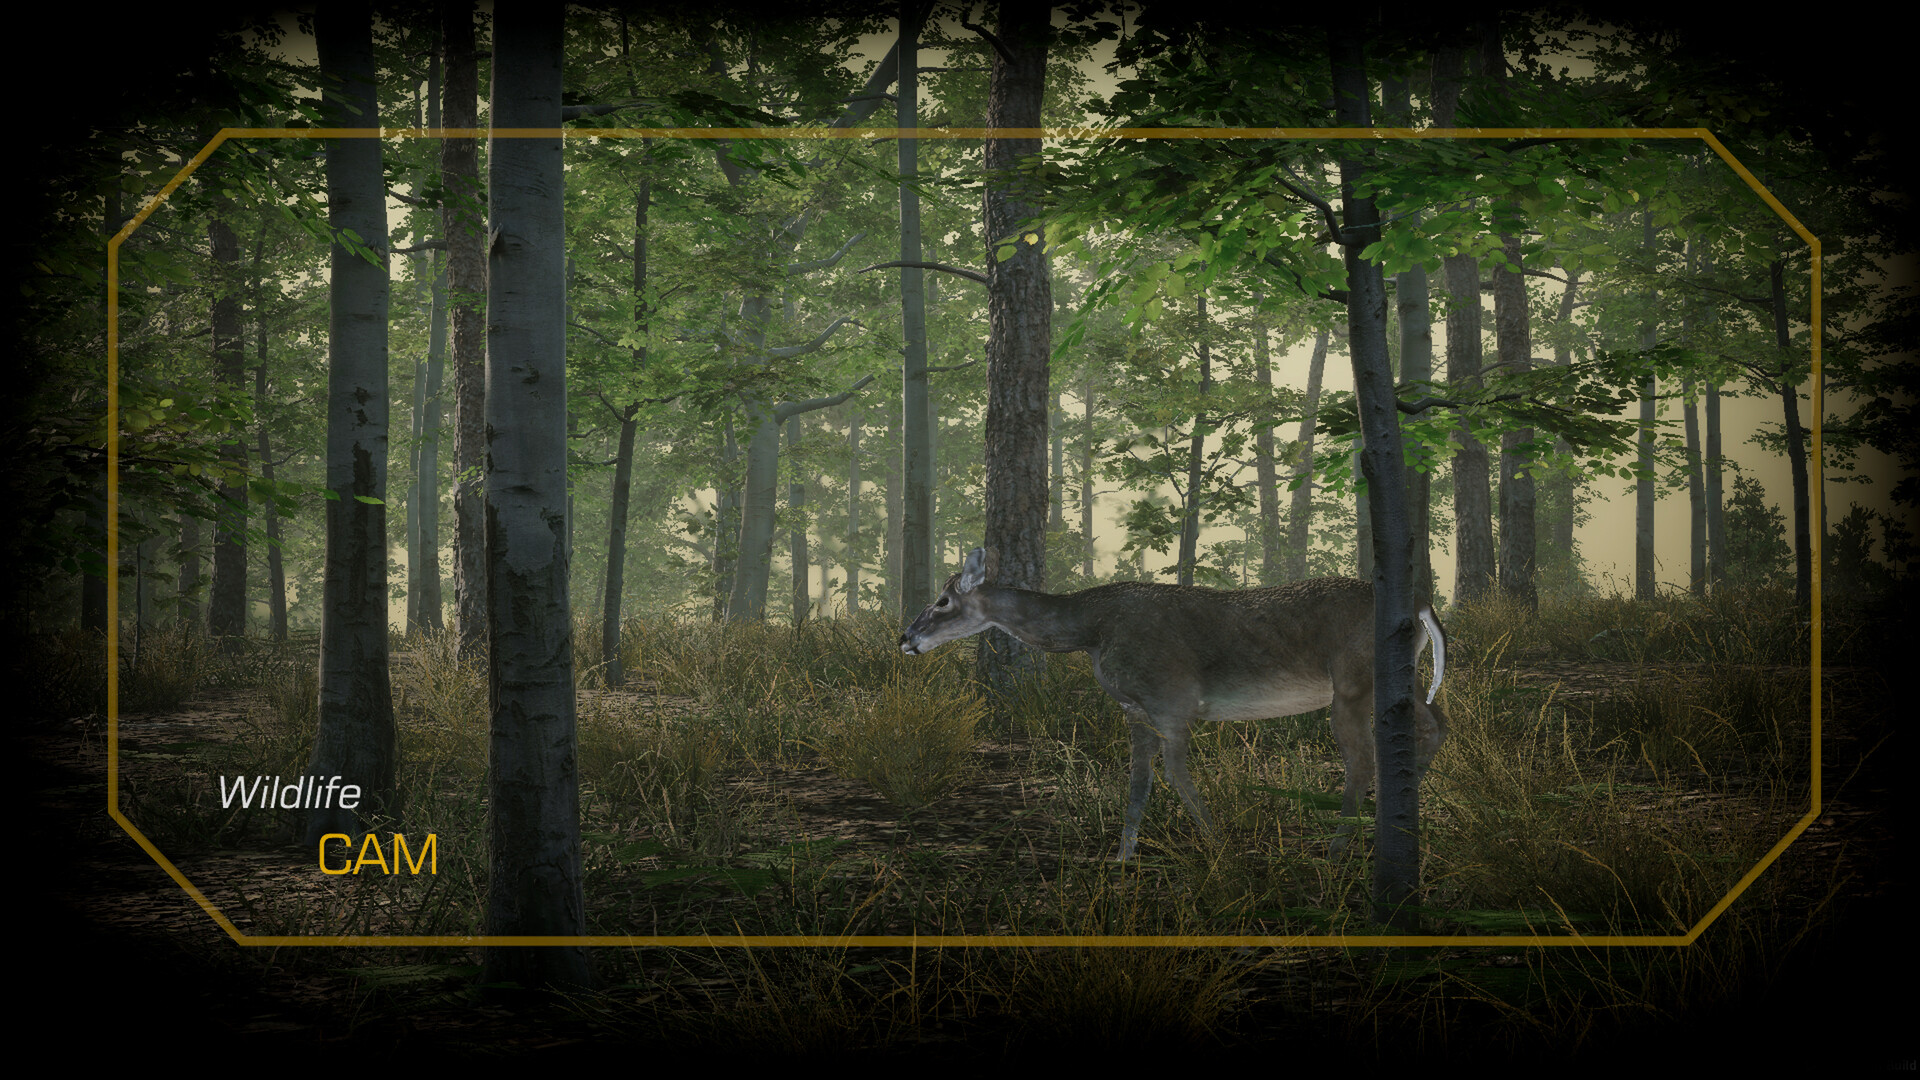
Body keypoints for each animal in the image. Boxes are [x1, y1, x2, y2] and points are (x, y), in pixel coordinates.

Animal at [899, 547, 1448, 862]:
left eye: (943, 602)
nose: (906, 638)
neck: (1091, 631)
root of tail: (1422, 605)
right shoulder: (1135, 710)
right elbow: (1139, 781)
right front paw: (1123, 856)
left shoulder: (1173, 700)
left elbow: (1176, 774)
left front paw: (1218, 844)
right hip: (1397, 678)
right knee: (1435, 722)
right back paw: (1393, 820)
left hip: (1353, 680)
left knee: (1362, 759)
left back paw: (1337, 847)